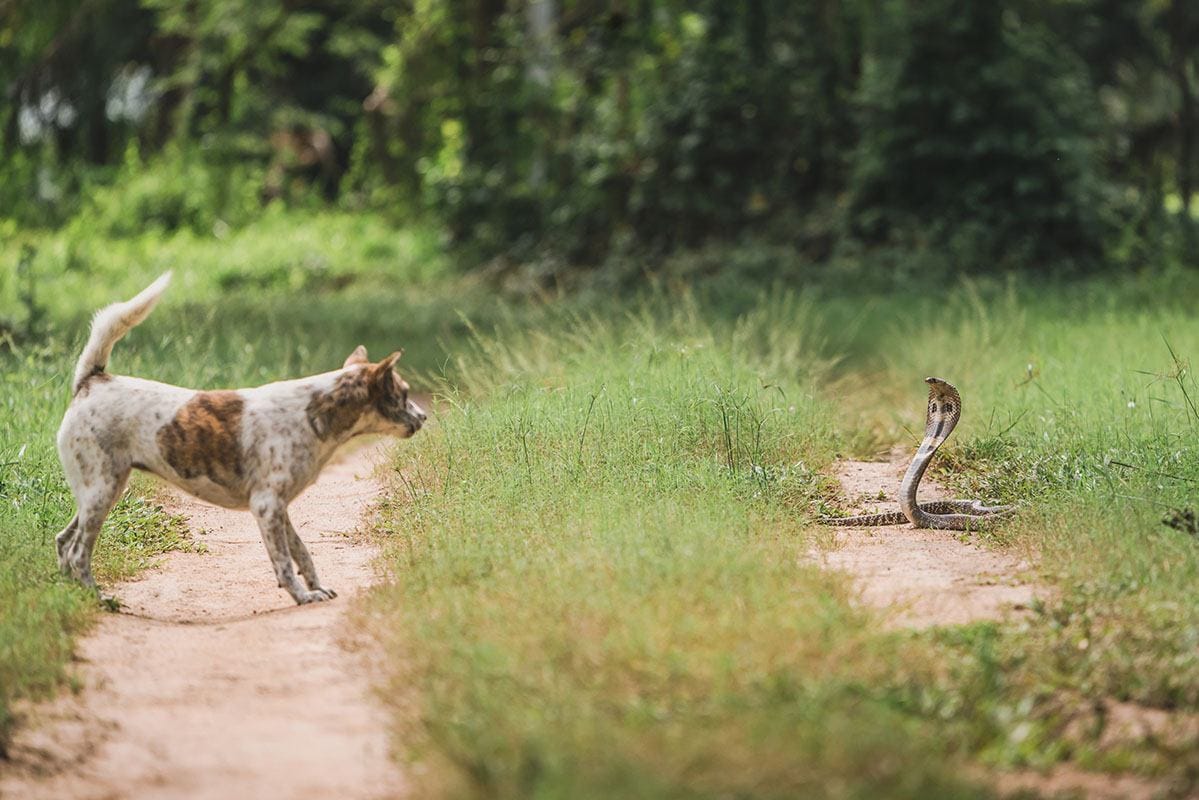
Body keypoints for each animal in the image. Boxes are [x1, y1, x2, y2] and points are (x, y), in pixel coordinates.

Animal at [55, 272, 426, 604]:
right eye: (405, 393)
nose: (424, 416)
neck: (314, 412)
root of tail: (93, 381)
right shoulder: (266, 507)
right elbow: (283, 563)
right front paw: (301, 596)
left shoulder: (280, 510)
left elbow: (302, 554)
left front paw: (316, 588)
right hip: (101, 493)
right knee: (77, 553)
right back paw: (98, 598)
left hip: (103, 493)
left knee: (62, 541)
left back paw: (73, 594)